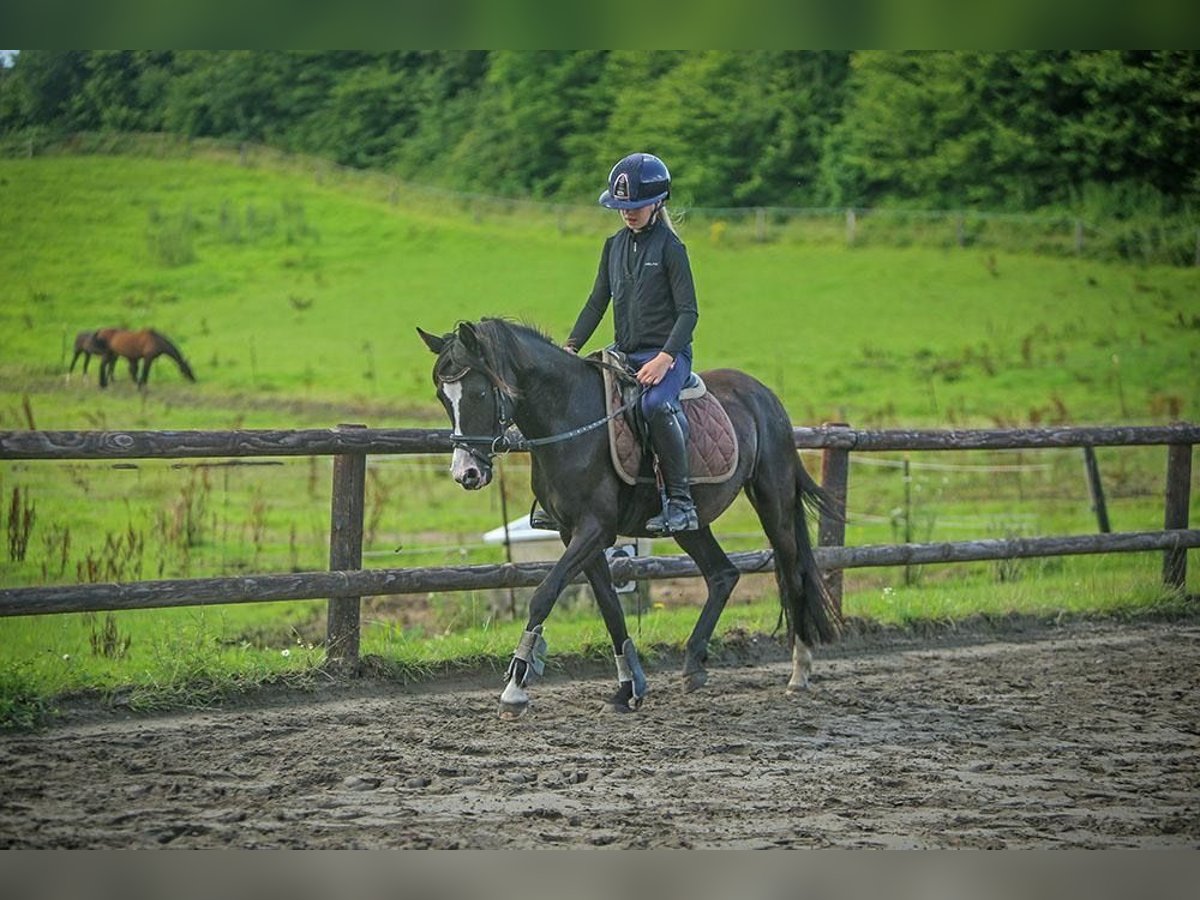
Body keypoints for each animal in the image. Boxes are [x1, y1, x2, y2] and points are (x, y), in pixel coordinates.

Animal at [417, 321, 840, 724]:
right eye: (442, 397)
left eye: (479, 393)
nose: (467, 474)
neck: (568, 418)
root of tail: (763, 395)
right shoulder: (575, 533)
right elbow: (610, 608)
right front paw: (627, 689)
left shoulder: (594, 530)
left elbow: (544, 594)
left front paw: (515, 690)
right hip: (691, 523)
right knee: (723, 574)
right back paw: (693, 665)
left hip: (773, 501)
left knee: (792, 573)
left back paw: (799, 672)